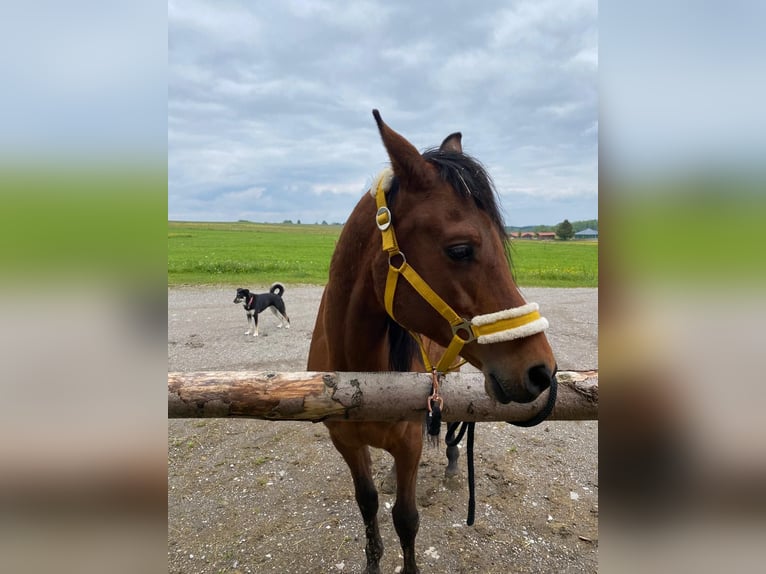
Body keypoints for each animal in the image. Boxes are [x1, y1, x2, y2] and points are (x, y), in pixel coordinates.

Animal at [308, 110, 560, 572]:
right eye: (460, 249)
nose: (541, 370)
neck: (359, 378)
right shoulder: (347, 444)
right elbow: (367, 502)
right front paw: (372, 559)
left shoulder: (409, 444)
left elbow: (406, 519)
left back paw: (453, 464)